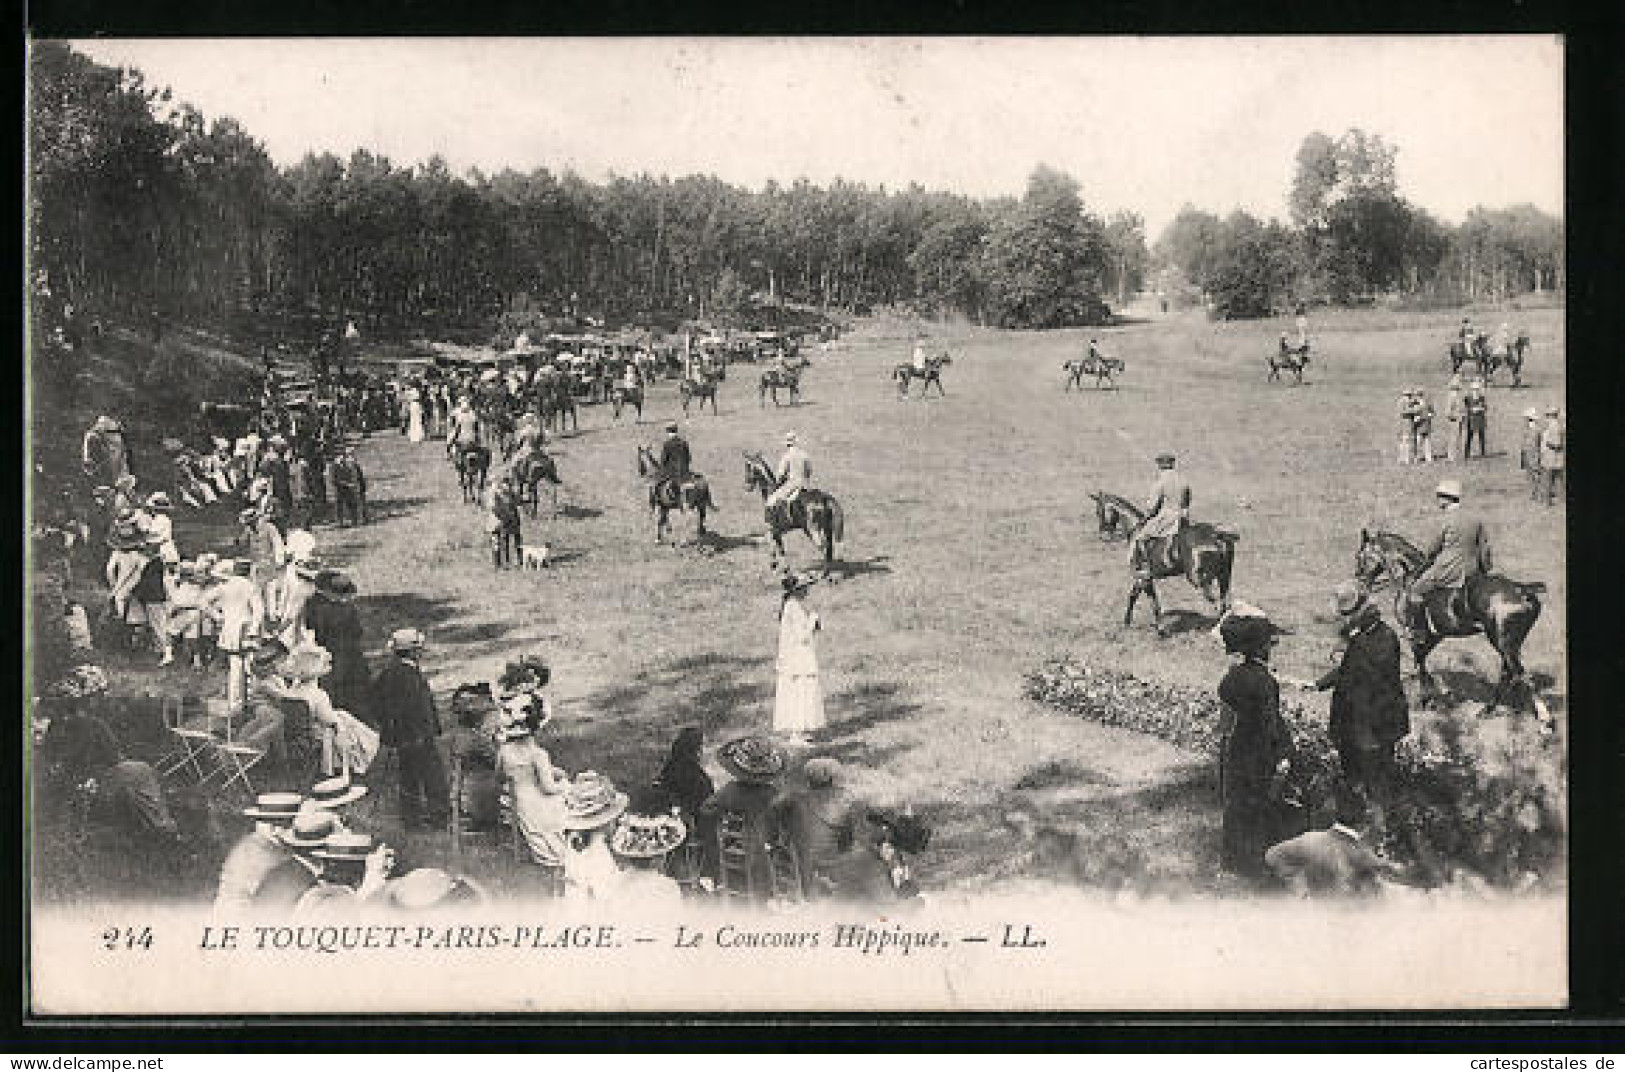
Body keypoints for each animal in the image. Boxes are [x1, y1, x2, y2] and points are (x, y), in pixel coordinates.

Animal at [1092, 493, 1241, 636]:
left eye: (1098, 511)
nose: (1103, 536)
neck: (1136, 531)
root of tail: (1217, 535)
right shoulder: (1142, 578)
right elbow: (1133, 597)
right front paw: (1127, 623)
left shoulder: (1144, 578)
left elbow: (1152, 603)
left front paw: (1161, 630)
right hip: (1223, 577)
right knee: (1225, 604)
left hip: (1200, 579)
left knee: (1218, 604)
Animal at [1352, 526, 1540, 711]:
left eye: (1359, 556)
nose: (1360, 580)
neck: (1410, 577)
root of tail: (1523, 591)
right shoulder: (1434, 635)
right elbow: (1422, 661)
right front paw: (1437, 694)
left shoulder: (1415, 635)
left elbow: (1419, 663)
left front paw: (1427, 699)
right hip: (1510, 644)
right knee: (1509, 673)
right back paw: (1499, 708)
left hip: (1502, 642)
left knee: (1520, 674)